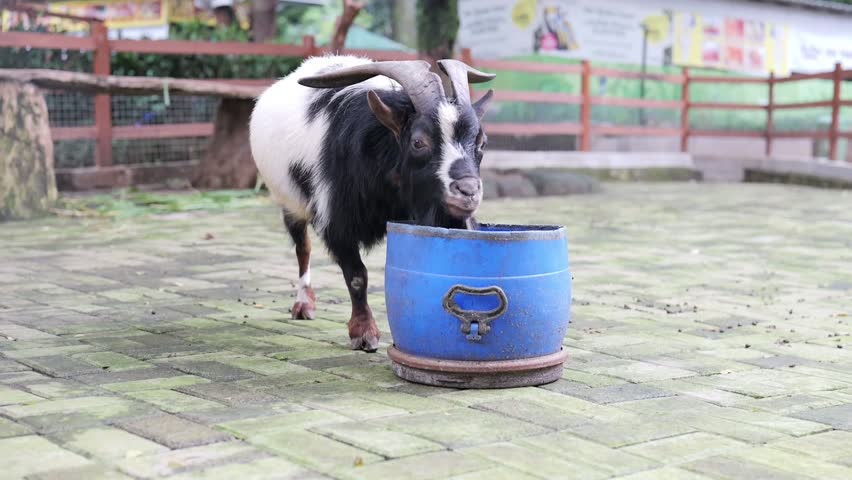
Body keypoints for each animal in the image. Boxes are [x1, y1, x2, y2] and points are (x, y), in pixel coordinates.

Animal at [249, 55, 496, 352]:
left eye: (481, 142)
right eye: (418, 142)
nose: (467, 191)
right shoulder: (337, 219)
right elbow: (357, 276)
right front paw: (364, 333)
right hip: (288, 201)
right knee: (302, 248)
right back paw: (304, 304)